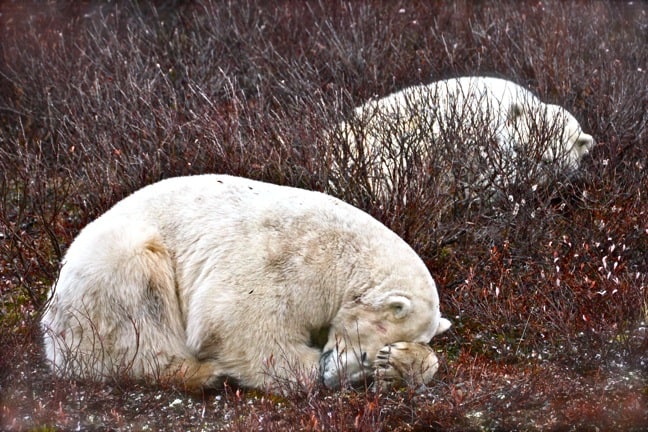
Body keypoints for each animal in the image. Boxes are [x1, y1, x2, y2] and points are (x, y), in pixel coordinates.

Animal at [41, 173, 450, 392]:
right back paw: (204, 374)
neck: (347, 261)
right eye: (364, 354)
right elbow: (244, 326)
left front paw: (401, 362)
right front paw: (306, 371)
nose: (333, 377)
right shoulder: (292, 263)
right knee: (138, 321)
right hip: (110, 270)